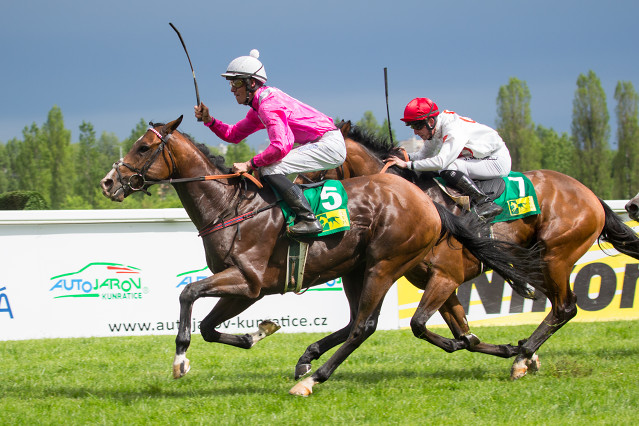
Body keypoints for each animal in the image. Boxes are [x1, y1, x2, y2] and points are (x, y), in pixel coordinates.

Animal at [99, 116, 540, 396]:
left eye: (143, 147)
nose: (108, 182)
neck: (230, 206)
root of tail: (428, 203)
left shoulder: (248, 280)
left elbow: (188, 292)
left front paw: (180, 359)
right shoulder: (247, 288)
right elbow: (210, 327)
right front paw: (258, 332)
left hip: (385, 265)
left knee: (364, 326)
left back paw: (311, 379)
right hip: (356, 271)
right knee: (363, 322)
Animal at [296, 122, 639, 380]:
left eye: (318, 161)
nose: (296, 189)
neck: (412, 201)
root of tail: (590, 195)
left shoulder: (445, 276)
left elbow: (417, 324)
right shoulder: (439, 282)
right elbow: (462, 334)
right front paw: (307, 357)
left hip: (556, 256)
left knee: (565, 307)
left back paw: (524, 356)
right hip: (540, 260)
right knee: (559, 306)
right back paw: (525, 352)